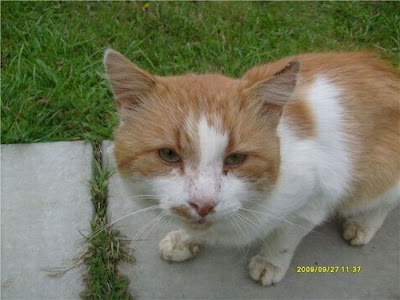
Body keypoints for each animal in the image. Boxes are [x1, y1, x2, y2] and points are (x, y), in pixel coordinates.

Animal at [104, 49, 400, 286]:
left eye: (236, 159)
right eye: (168, 154)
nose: (203, 204)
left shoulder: (314, 200)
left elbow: (284, 240)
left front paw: (270, 263)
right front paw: (184, 240)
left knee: (385, 202)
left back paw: (363, 225)